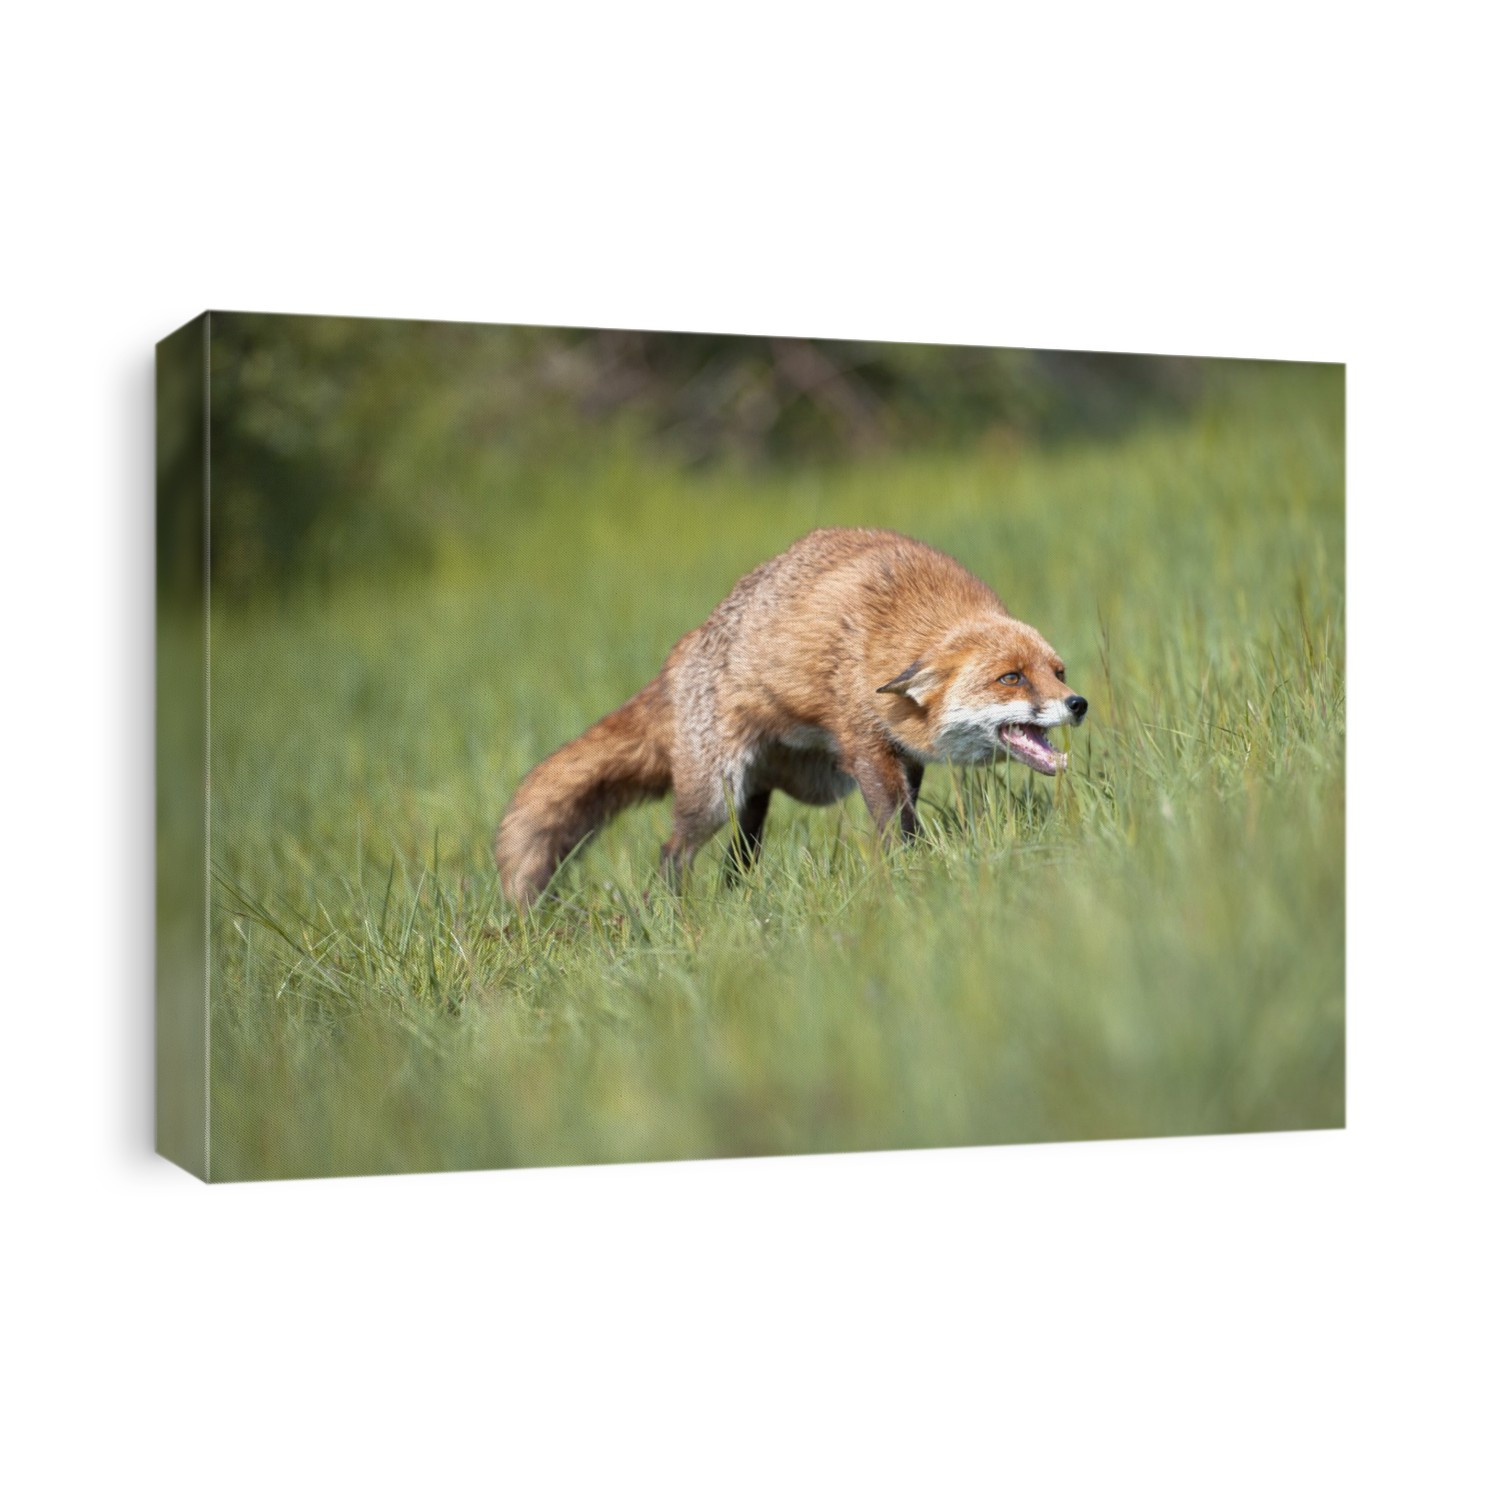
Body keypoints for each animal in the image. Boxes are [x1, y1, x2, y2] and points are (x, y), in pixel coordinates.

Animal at [495, 526, 1086, 908]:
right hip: (715, 796)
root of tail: (682, 650)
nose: (1077, 704)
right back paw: (673, 911)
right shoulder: (864, 742)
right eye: (1011, 677)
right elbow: (897, 825)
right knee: (672, 852)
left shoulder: (903, 755)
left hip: (761, 796)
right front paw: (911, 876)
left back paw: (733, 901)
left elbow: (905, 812)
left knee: (738, 858)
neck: (895, 618)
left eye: (1058, 672)